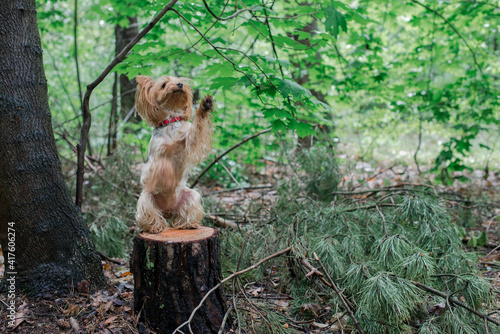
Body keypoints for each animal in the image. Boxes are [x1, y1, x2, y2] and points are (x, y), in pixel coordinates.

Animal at [135, 75, 215, 232]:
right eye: (164, 85)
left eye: (180, 80)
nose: (179, 84)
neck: (171, 121)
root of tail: (168, 211)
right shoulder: (156, 155)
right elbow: (163, 165)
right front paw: (168, 178)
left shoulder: (190, 140)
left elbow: (197, 127)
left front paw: (204, 106)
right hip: (146, 198)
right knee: (151, 215)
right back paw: (155, 227)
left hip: (191, 195)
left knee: (184, 214)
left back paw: (188, 224)